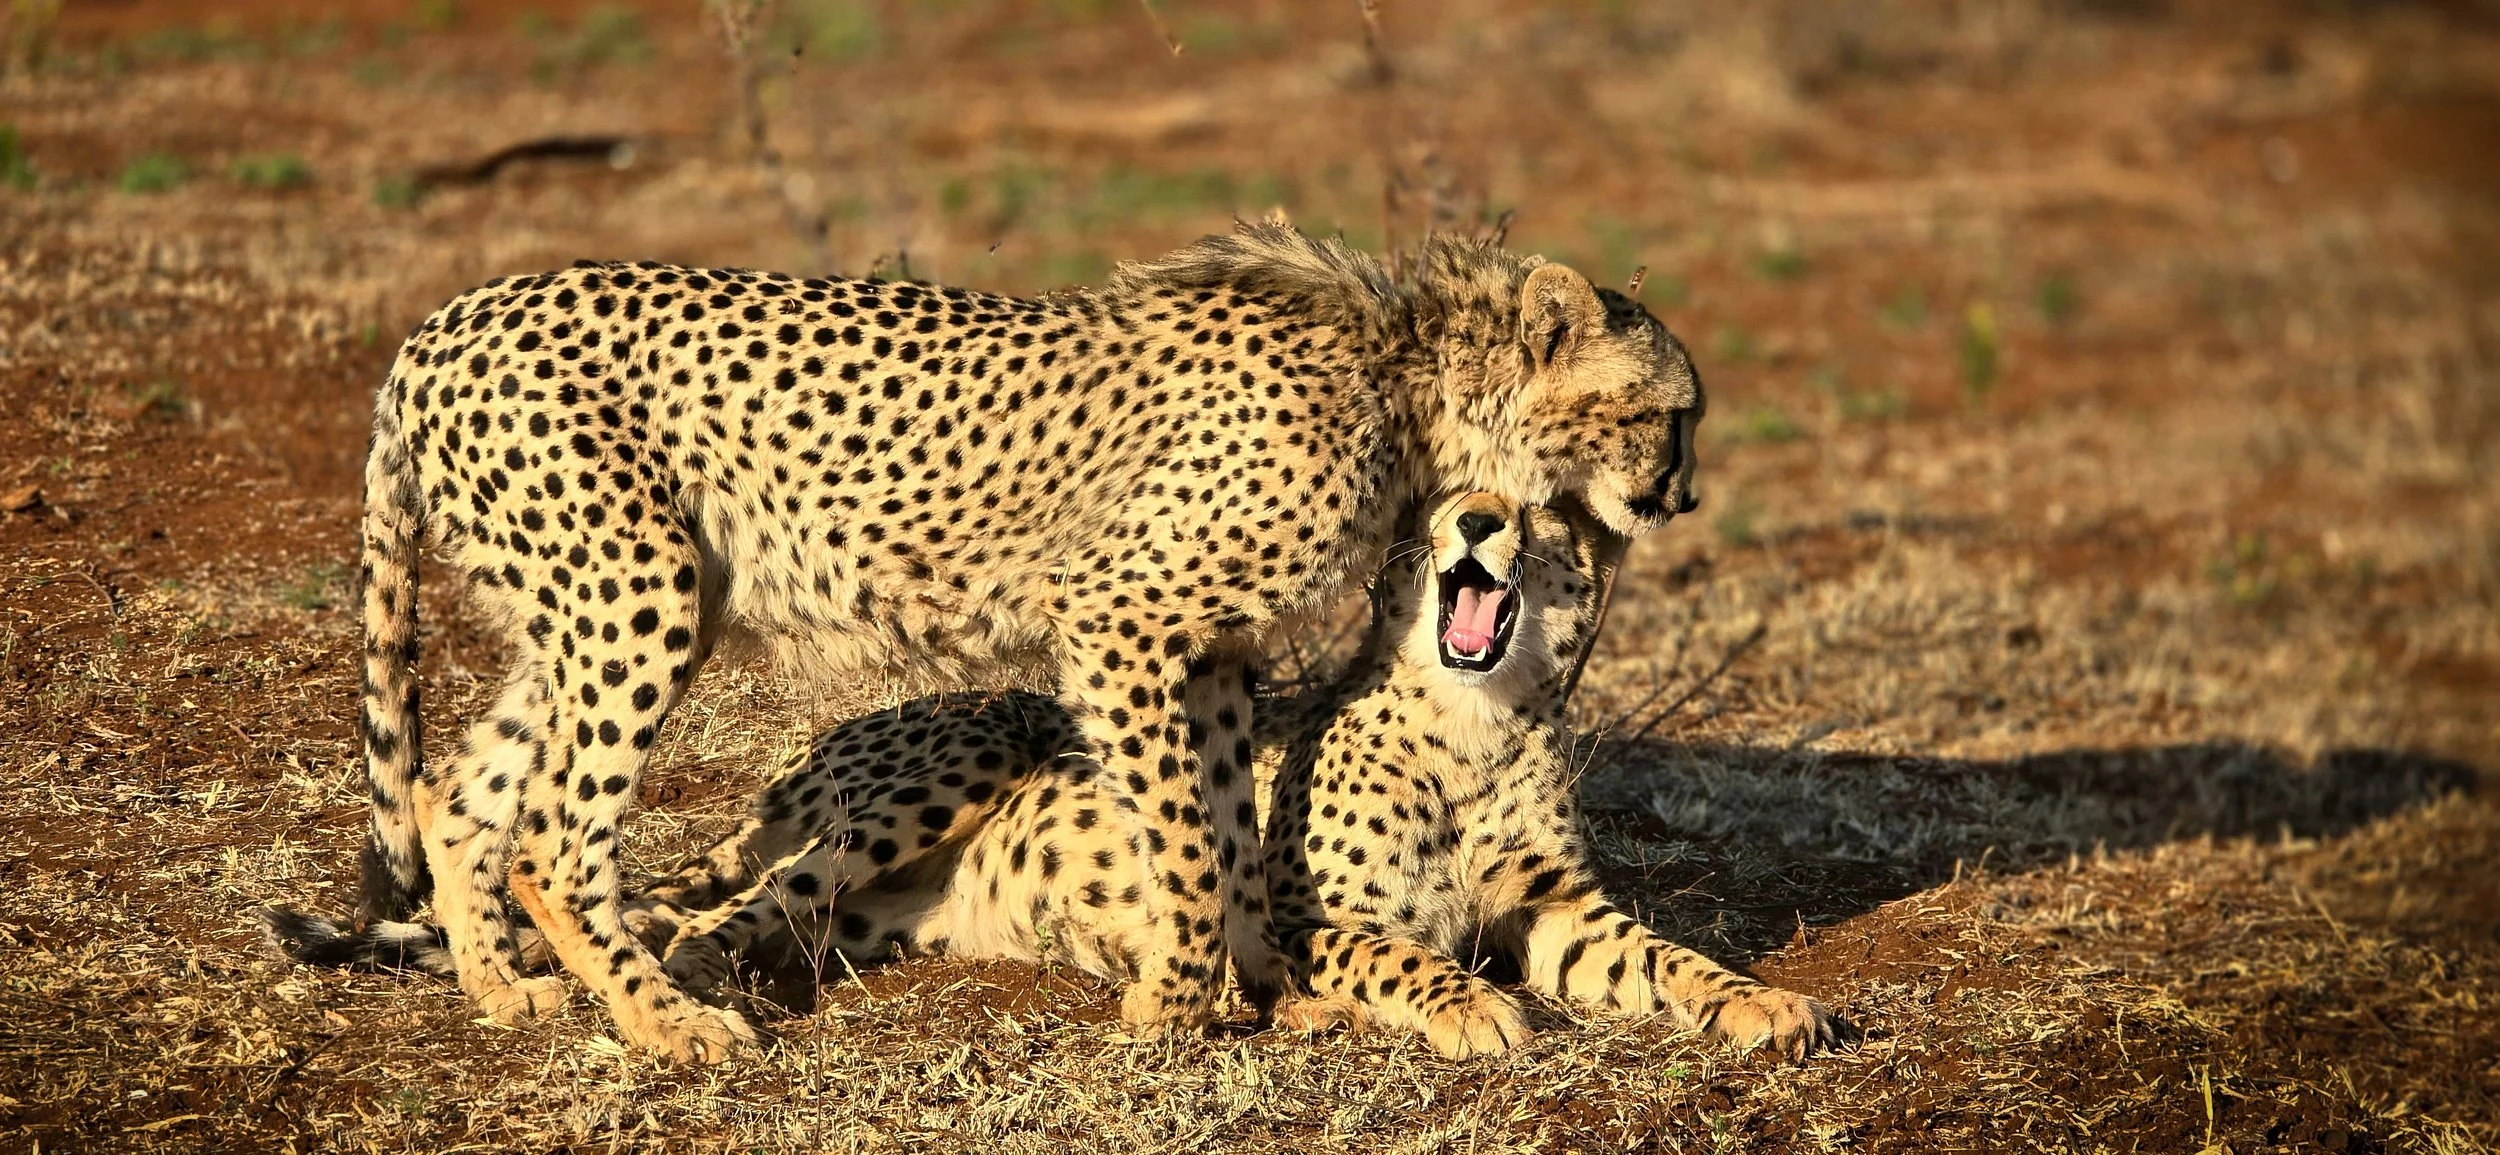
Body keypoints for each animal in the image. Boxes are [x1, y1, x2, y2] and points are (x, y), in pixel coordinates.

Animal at [271, 491, 1834, 1060]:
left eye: (1537, 510)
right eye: (1456, 494)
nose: (1477, 526)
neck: (1478, 720)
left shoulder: (1560, 905)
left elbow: (1663, 955)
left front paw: (1762, 1001)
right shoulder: (1302, 903)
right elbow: (1404, 951)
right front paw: (1461, 1009)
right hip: (945, 764)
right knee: (722, 916)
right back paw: (687, 993)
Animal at [348, 222, 1706, 1061]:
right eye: (1670, 413)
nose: (1681, 494)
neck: (1410, 375)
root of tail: (434, 329)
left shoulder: (1213, 649)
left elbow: (1227, 827)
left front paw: (1274, 993)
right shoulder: (1119, 616)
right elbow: (1185, 845)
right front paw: (1172, 1011)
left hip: (583, 610)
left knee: (457, 794)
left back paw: (504, 988)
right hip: (645, 592)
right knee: (555, 834)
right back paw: (663, 1019)